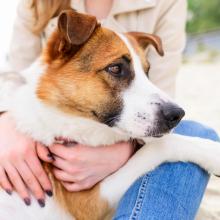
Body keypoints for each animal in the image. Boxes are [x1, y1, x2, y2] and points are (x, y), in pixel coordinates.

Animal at [0, 8, 220, 220]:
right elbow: (159, 146)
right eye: (115, 68)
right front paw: (214, 153)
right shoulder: (89, 202)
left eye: (147, 72)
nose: (177, 115)